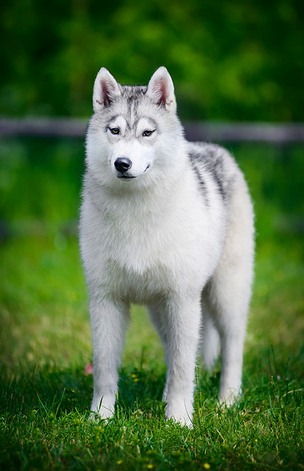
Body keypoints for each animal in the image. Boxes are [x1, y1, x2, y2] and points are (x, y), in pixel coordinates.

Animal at [79, 67, 255, 428]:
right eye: (115, 130)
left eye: (147, 132)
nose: (122, 163)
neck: (134, 209)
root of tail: (210, 148)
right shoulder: (105, 299)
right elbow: (104, 368)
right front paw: (100, 419)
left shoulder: (183, 299)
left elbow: (184, 368)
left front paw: (179, 421)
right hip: (161, 311)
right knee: (174, 352)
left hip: (224, 295)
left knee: (231, 348)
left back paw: (228, 401)